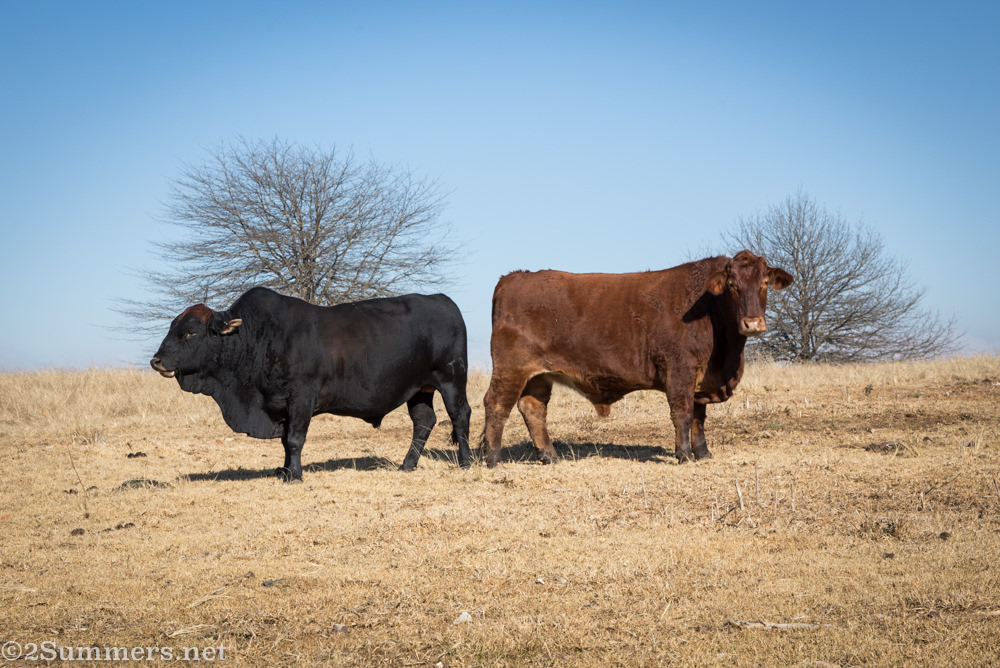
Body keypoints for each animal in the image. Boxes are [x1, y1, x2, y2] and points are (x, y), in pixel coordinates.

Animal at [150, 287, 472, 481]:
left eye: (191, 332)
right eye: (172, 327)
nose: (156, 360)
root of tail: (442, 299)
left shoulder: (301, 396)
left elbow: (294, 439)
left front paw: (295, 475)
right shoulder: (282, 405)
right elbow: (285, 441)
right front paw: (284, 471)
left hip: (451, 378)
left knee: (460, 416)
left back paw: (466, 462)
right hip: (419, 389)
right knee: (424, 421)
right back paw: (407, 465)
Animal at [480, 250, 793, 467]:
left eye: (764, 282)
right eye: (732, 284)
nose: (753, 323)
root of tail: (515, 276)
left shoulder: (701, 379)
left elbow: (699, 417)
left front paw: (703, 454)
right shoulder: (680, 370)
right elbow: (682, 414)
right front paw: (684, 455)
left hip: (539, 375)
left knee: (533, 409)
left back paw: (550, 456)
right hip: (511, 367)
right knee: (497, 404)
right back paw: (493, 459)